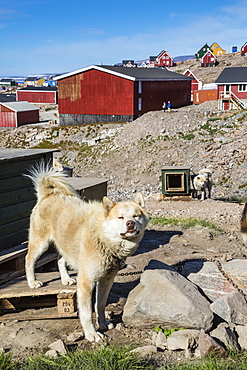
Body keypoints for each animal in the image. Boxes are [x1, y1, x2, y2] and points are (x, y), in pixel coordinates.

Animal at [25, 165, 149, 342]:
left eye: (136, 216)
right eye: (120, 217)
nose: (130, 223)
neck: (103, 238)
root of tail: (48, 194)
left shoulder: (106, 280)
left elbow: (100, 305)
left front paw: (103, 323)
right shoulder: (86, 282)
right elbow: (86, 313)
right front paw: (91, 334)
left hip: (65, 246)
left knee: (60, 260)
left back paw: (66, 279)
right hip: (41, 244)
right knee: (29, 259)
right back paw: (32, 282)